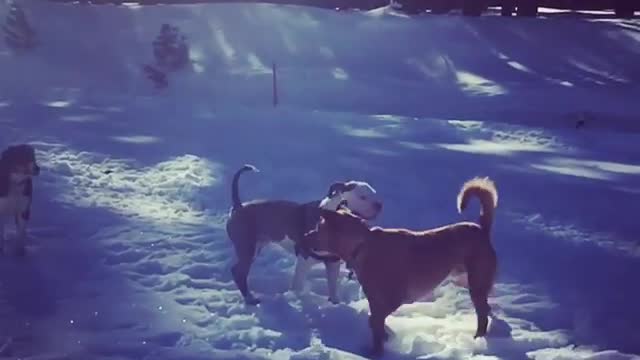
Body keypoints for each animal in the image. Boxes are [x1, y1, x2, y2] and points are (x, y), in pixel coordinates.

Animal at [306, 177, 500, 354]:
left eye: (318, 228)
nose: (305, 235)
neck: (363, 244)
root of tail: (482, 229)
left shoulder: (394, 299)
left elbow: (375, 322)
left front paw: (378, 350)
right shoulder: (375, 301)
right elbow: (375, 325)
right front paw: (379, 344)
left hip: (476, 284)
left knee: (482, 316)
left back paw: (477, 340)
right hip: (469, 281)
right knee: (486, 309)